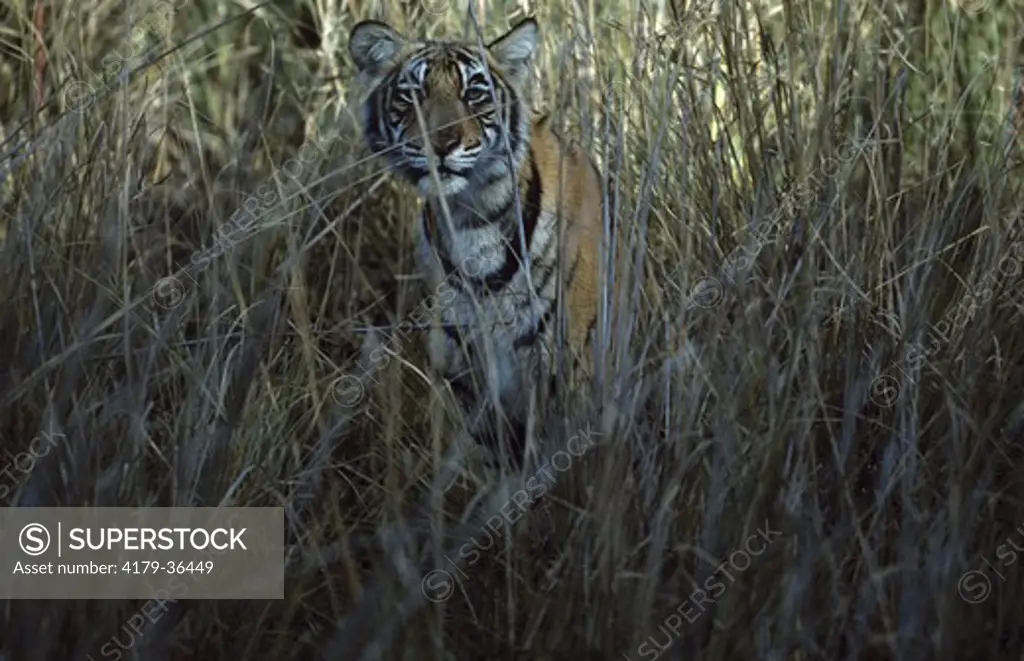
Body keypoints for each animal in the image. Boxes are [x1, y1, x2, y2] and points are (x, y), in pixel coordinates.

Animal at [350, 15, 606, 466]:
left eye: (474, 93)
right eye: (412, 95)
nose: (442, 144)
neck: (472, 215)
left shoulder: (564, 361)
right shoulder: (465, 370)